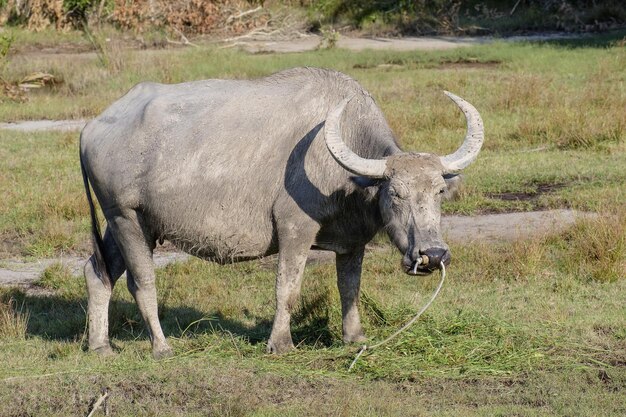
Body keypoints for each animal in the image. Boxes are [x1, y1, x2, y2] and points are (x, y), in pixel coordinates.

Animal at [80, 66, 482, 356]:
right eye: (395, 193)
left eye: (439, 191)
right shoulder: (295, 229)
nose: (432, 254)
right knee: (141, 282)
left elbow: (349, 287)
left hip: (126, 224)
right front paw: (281, 344)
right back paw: (161, 347)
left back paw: (101, 346)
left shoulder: (352, 242)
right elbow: (287, 287)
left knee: (98, 271)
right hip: (127, 218)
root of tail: (92, 127)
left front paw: (354, 337)